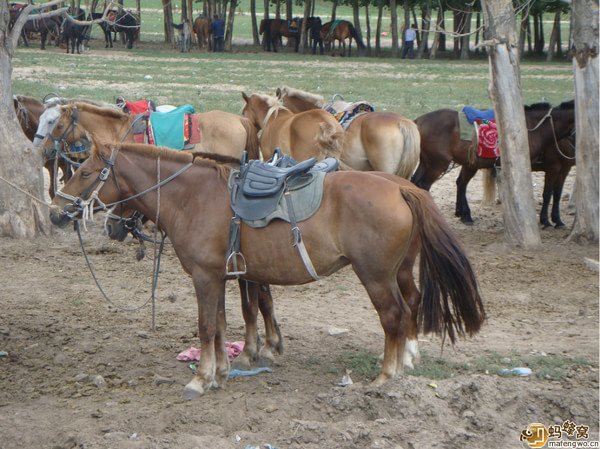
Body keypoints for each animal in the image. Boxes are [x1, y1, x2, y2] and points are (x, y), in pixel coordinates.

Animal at [49, 139, 486, 396]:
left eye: (84, 172)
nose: (55, 212)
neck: (194, 196)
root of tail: (401, 186)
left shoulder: (205, 277)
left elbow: (207, 326)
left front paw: (201, 378)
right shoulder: (221, 276)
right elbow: (223, 323)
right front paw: (223, 370)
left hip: (376, 276)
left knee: (393, 315)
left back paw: (386, 375)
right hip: (400, 269)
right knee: (411, 305)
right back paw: (406, 361)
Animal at [410, 101, 576, 228]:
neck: (531, 127)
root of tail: (418, 121)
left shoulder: (563, 169)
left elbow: (557, 193)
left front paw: (557, 220)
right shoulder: (552, 167)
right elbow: (546, 193)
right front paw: (545, 221)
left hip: (432, 163)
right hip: (437, 164)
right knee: (424, 186)